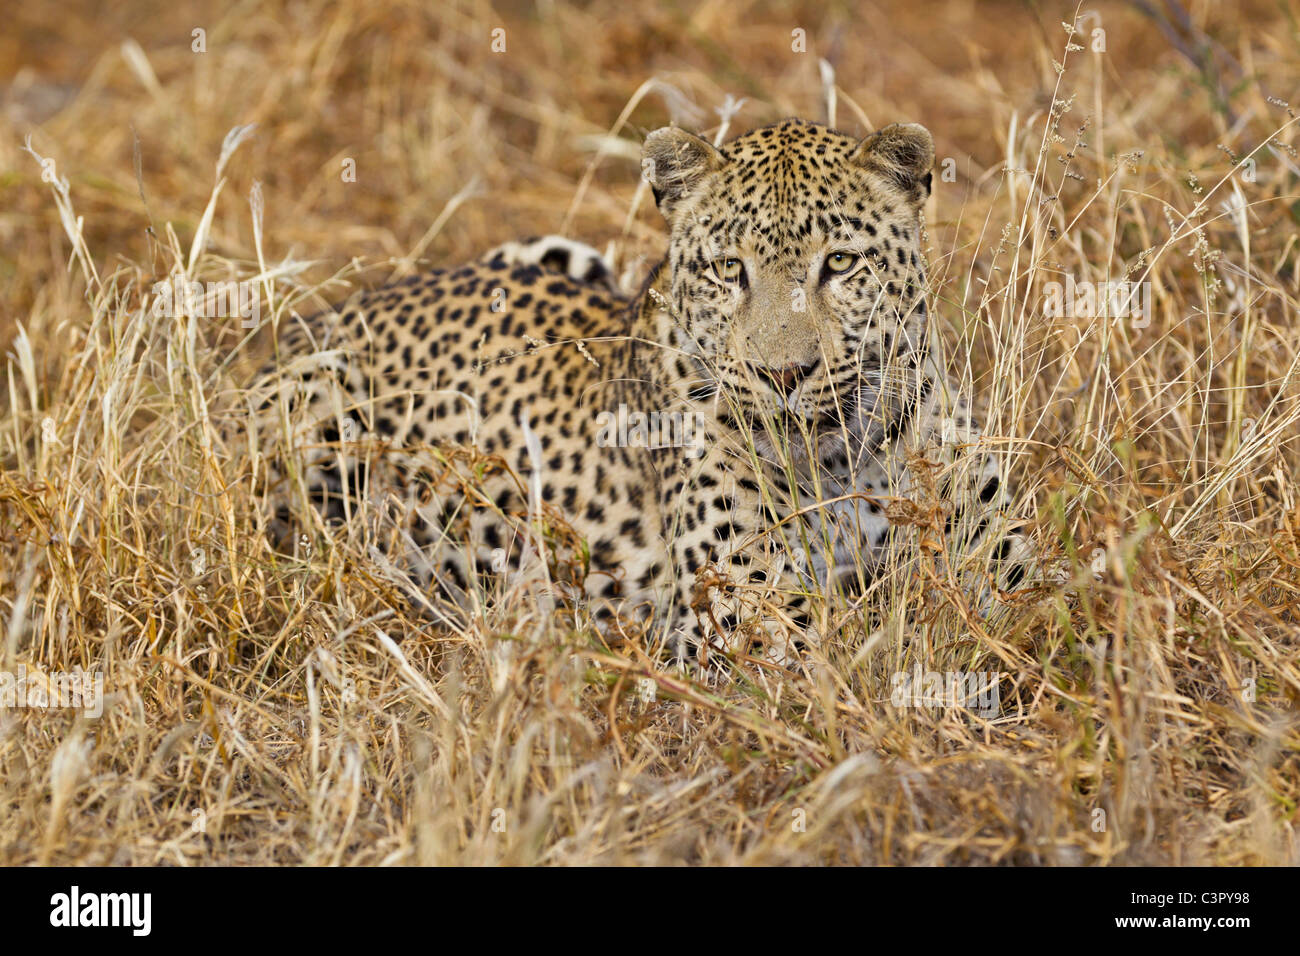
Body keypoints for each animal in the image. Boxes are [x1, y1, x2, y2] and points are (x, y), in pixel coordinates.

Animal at [245, 117, 1041, 666]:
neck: (846, 457)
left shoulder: (1001, 557)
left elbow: (1046, 608)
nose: (783, 375)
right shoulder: (746, 622)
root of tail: (336, 309)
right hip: (318, 407)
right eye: (729, 269)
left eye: (841, 263)